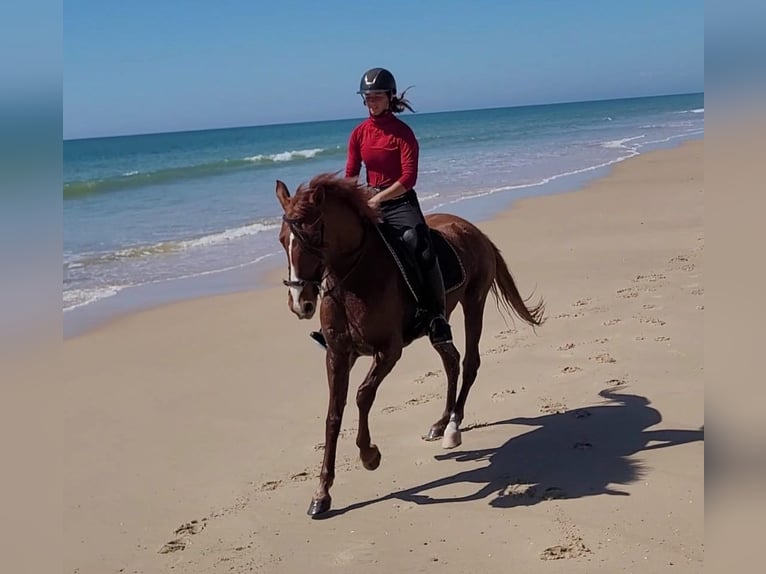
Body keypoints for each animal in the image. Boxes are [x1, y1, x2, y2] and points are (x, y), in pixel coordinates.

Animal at [275, 173, 545, 517]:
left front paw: (370, 455)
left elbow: (363, 396)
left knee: (469, 362)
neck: (355, 279)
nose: (301, 303)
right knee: (451, 360)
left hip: (474, 303)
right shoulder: (337, 355)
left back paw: (453, 427)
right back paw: (440, 423)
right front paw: (322, 494)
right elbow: (333, 415)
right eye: (283, 240)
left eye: (312, 238)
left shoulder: (388, 351)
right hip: (440, 320)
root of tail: (473, 230)